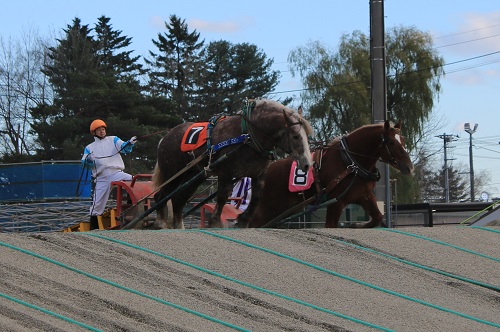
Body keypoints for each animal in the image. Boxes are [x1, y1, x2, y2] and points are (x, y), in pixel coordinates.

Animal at [152, 98, 312, 228]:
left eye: (307, 135)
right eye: (296, 136)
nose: (307, 164)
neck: (248, 136)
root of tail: (164, 138)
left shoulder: (258, 174)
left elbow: (256, 197)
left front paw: (243, 220)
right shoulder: (226, 172)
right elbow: (223, 196)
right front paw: (215, 222)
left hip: (194, 176)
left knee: (178, 201)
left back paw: (178, 226)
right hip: (173, 174)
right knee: (160, 196)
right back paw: (160, 222)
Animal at [250, 121, 414, 228]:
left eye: (403, 141)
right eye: (391, 142)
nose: (409, 167)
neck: (349, 162)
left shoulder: (365, 196)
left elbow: (377, 218)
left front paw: (355, 225)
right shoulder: (336, 202)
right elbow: (330, 225)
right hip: (267, 209)